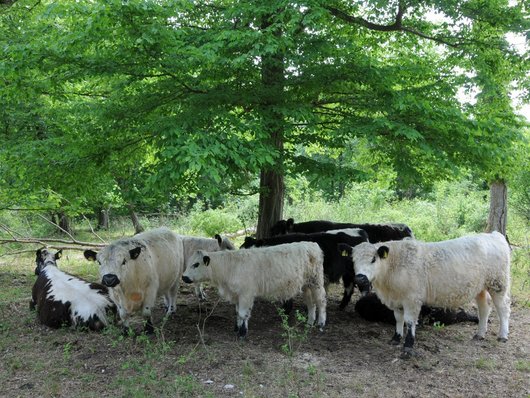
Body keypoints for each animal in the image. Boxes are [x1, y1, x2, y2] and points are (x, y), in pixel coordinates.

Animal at [180, 241, 326, 338]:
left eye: (196, 264)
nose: (184, 277)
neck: (230, 267)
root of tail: (312, 244)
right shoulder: (237, 294)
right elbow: (238, 312)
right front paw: (237, 327)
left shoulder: (246, 294)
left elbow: (243, 313)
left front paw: (242, 332)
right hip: (306, 285)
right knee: (311, 303)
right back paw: (310, 322)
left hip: (316, 282)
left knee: (321, 301)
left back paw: (321, 323)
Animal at [348, 230, 510, 358]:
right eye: (353, 260)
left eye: (373, 259)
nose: (360, 278)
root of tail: (494, 235)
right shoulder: (397, 300)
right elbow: (398, 319)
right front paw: (396, 338)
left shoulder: (412, 300)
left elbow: (409, 322)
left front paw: (408, 347)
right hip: (480, 288)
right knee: (484, 309)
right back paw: (480, 334)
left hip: (498, 284)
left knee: (503, 309)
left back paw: (503, 335)